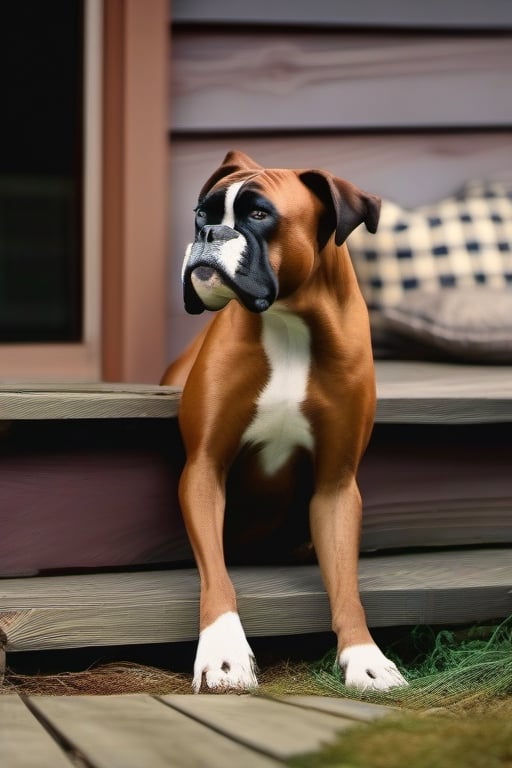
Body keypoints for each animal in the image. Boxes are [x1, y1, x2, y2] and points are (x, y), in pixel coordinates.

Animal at [162, 152, 406, 696]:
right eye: (201, 213)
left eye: (258, 215)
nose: (209, 233)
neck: (290, 321)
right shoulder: (204, 468)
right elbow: (217, 575)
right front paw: (225, 655)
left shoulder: (337, 488)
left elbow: (346, 584)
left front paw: (365, 657)